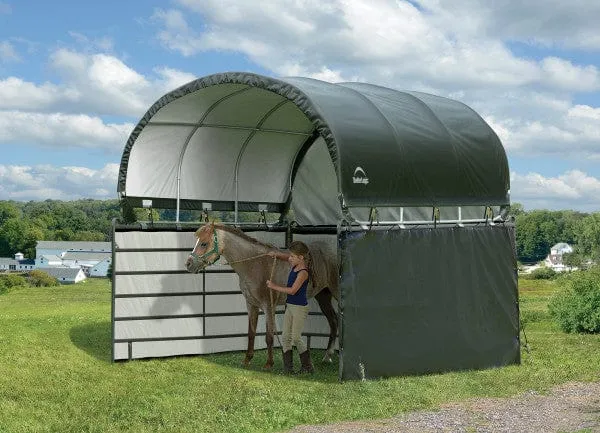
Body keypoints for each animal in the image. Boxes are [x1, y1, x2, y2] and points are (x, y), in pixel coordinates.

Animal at [183, 223, 338, 368]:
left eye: (204, 243)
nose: (188, 264)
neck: (255, 264)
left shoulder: (268, 306)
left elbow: (269, 335)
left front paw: (269, 363)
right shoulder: (251, 304)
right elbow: (251, 333)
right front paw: (247, 360)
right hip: (323, 296)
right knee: (333, 321)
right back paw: (327, 356)